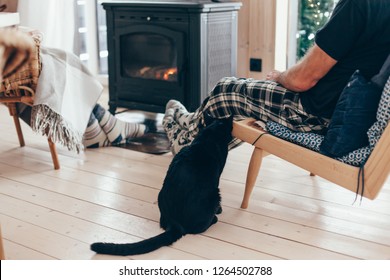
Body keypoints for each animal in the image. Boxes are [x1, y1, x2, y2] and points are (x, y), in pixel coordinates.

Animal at [90, 114, 233, 256]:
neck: (210, 133)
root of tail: (175, 223)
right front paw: (219, 210)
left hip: (160, 195)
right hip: (215, 194)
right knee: (199, 227)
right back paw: (214, 218)